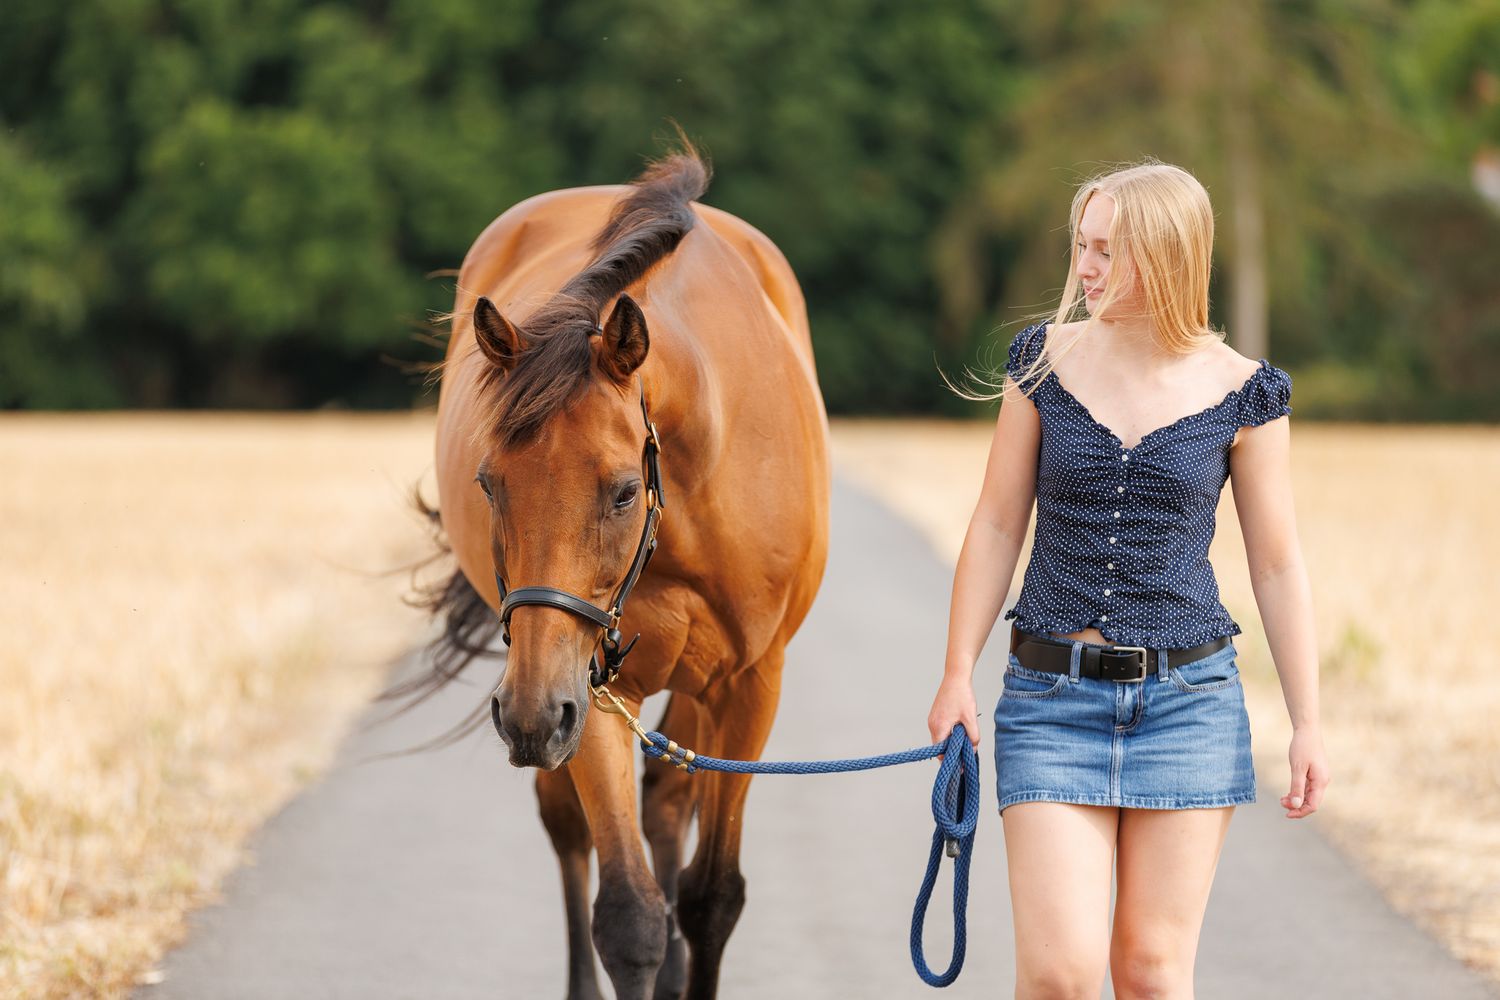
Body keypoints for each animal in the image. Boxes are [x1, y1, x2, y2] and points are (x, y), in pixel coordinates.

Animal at [413, 147, 830, 1000]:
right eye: (488, 484)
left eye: (622, 490)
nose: (530, 716)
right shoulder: (591, 688)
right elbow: (630, 916)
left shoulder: (749, 685)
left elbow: (710, 897)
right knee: (567, 823)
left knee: (667, 805)